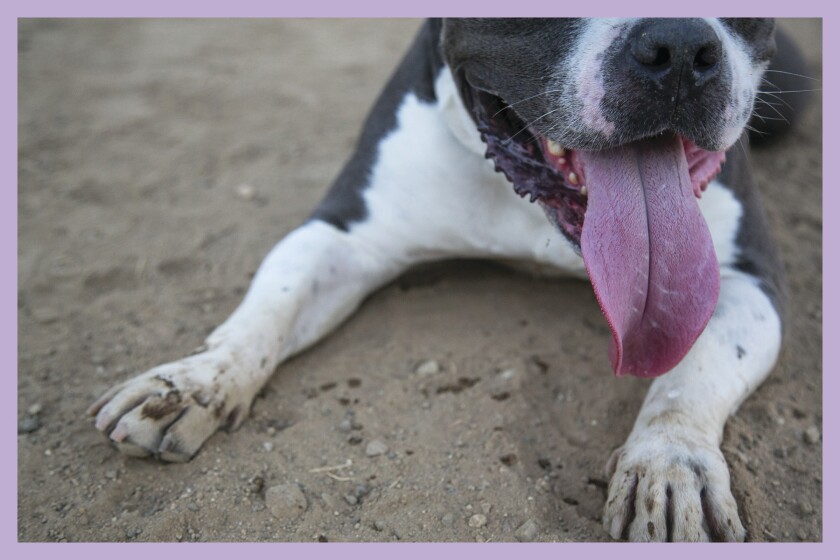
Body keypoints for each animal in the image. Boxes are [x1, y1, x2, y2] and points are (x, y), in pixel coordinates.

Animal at [87, 18, 808, 544]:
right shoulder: (341, 235)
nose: (679, 45)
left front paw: (669, 463)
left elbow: (692, 374)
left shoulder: (749, 281)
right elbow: (272, 304)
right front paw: (193, 383)